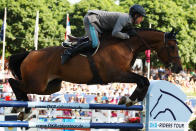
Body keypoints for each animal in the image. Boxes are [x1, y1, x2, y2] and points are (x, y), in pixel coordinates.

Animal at [7, 28, 182, 120]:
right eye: (172, 47)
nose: (178, 68)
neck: (127, 45)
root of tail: (30, 53)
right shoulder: (116, 75)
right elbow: (143, 80)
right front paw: (129, 100)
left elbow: (144, 81)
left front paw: (130, 99)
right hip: (36, 83)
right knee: (13, 82)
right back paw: (22, 109)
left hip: (51, 87)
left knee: (20, 85)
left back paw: (22, 109)